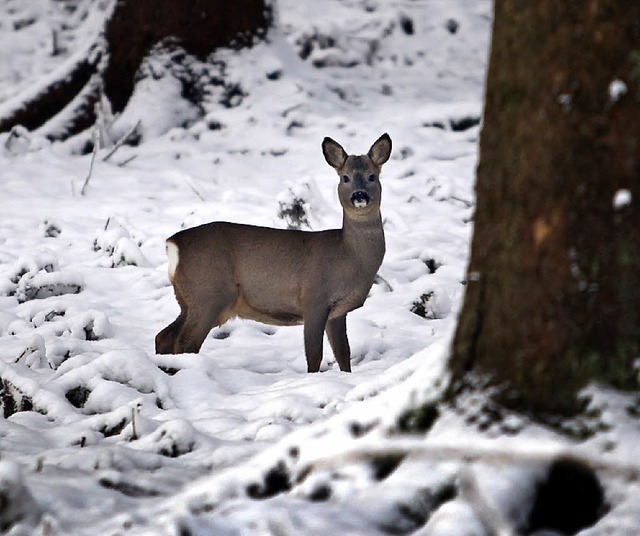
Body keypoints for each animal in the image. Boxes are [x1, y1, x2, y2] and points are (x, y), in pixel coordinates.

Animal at [158, 133, 392, 372]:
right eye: (345, 178)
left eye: (372, 176)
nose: (359, 195)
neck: (348, 256)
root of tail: (173, 244)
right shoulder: (314, 298)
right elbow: (314, 355)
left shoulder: (337, 312)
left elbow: (343, 352)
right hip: (209, 293)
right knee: (185, 342)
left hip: (188, 298)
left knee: (164, 336)